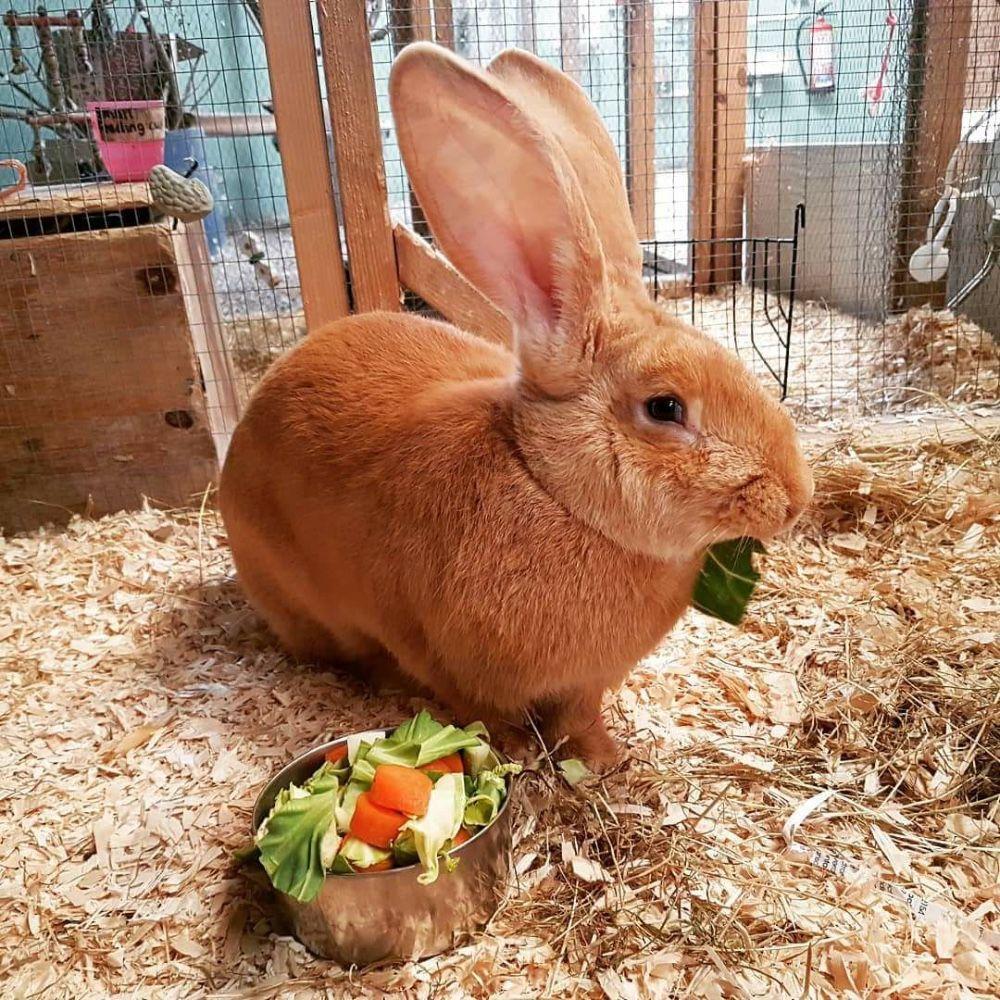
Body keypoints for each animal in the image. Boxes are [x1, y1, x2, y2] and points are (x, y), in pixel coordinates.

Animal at [219, 43, 814, 764]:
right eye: (665, 408)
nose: (796, 497)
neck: (547, 485)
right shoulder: (438, 652)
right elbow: (486, 711)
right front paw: (518, 755)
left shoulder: (585, 683)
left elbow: (581, 715)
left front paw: (604, 757)